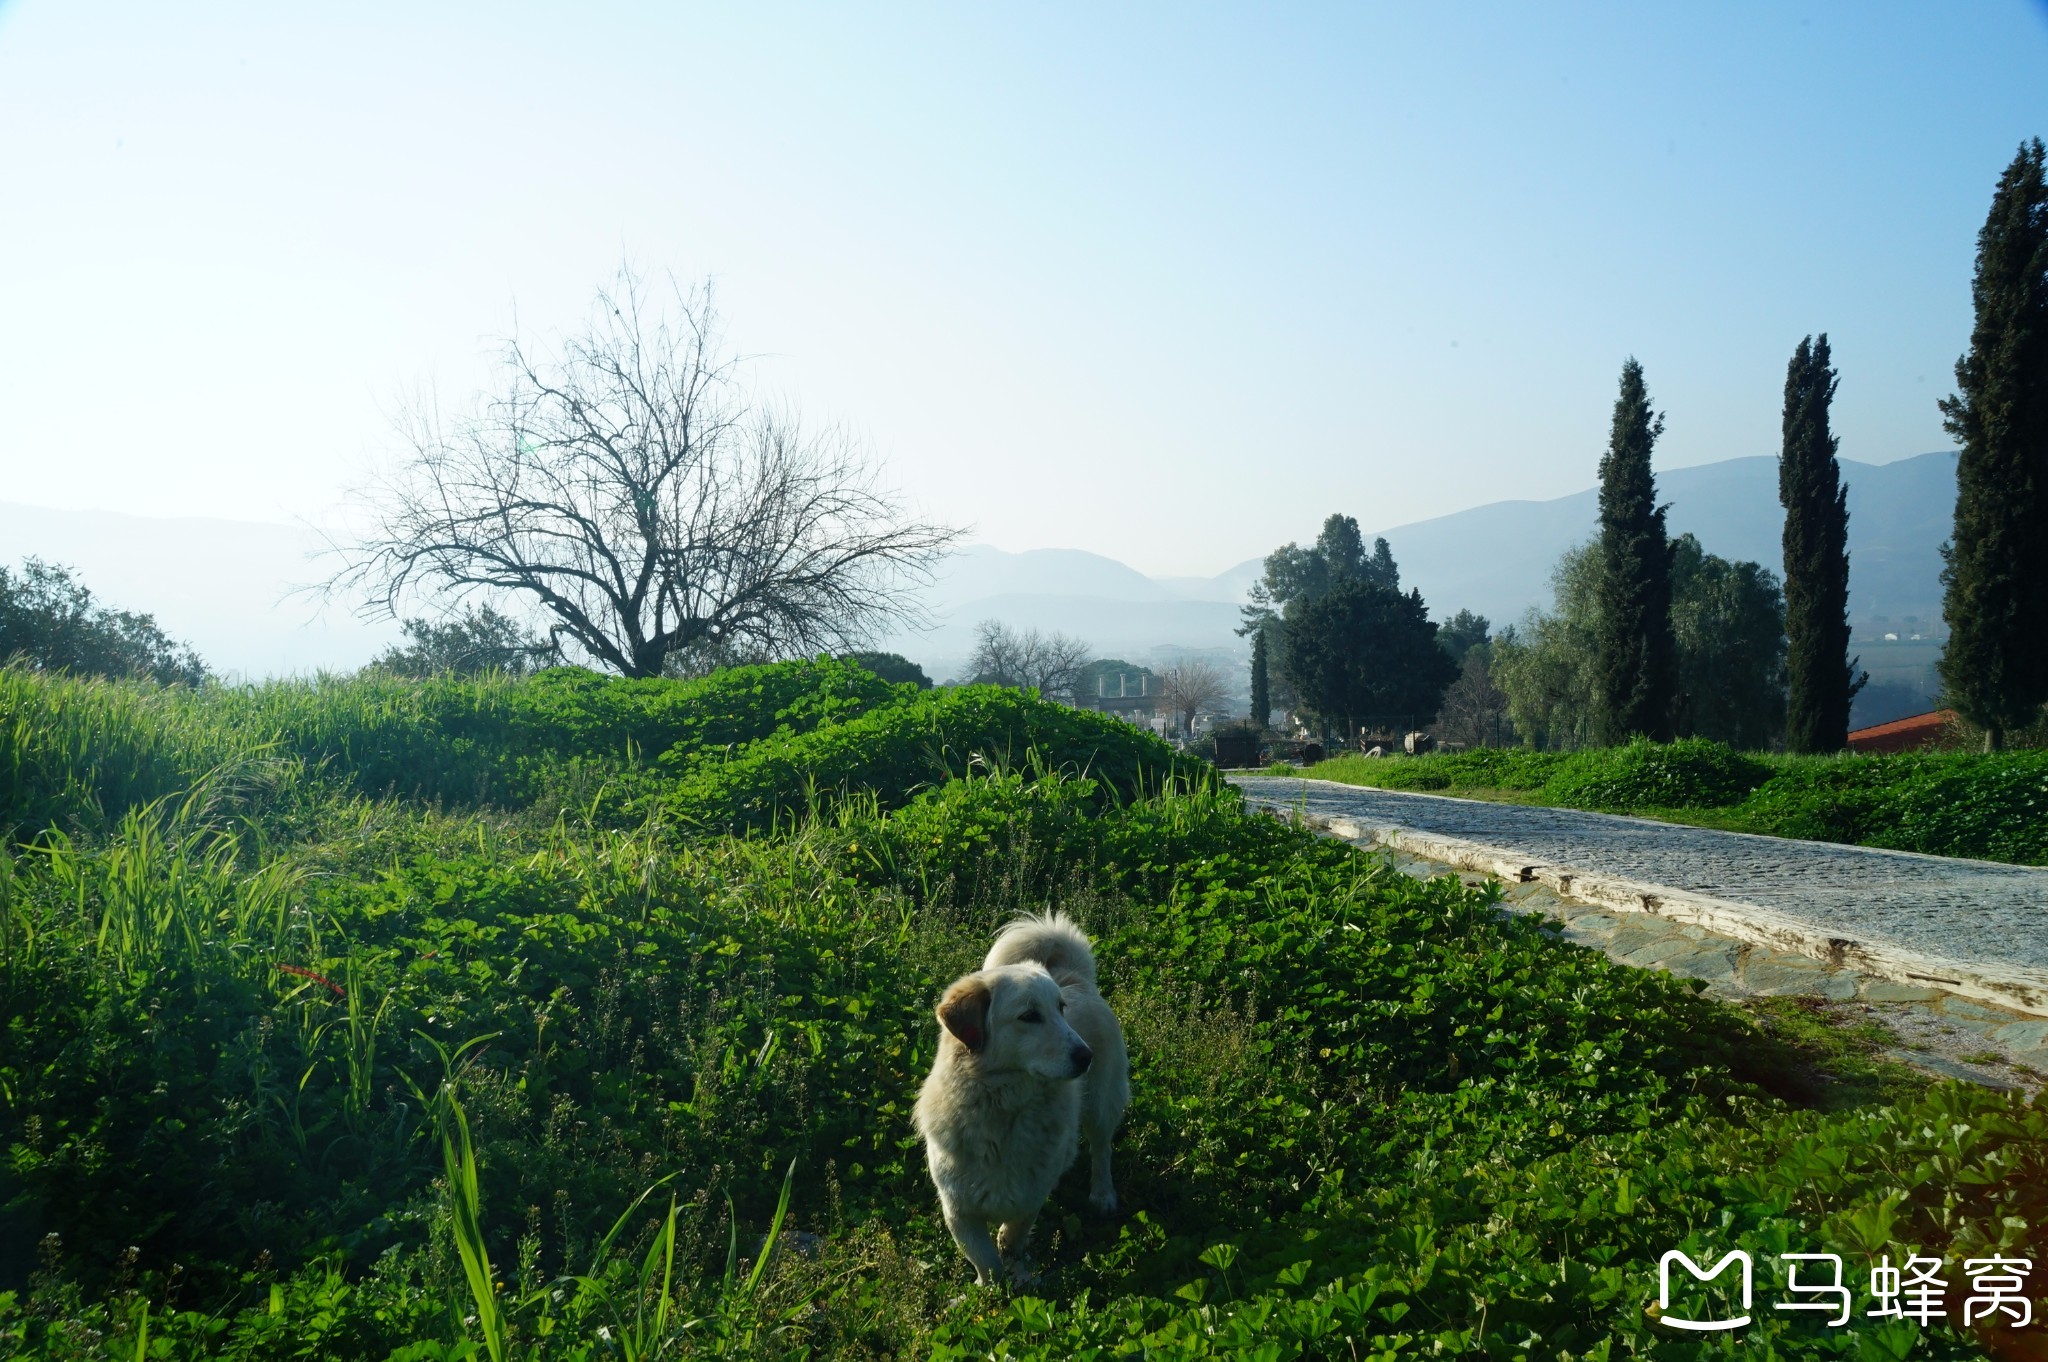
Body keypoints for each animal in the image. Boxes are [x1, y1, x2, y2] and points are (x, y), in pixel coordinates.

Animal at [917, 909, 1138, 1278]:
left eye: (1061, 1009)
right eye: (1029, 1016)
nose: (1086, 1056)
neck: (1001, 1109)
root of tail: (1074, 978)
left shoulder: (1029, 1196)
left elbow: (1012, 1237)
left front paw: (1014, 1270)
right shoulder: (958, 1210)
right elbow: (985, 1260)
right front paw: (991, 1288)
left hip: (1102, 1104)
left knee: (1101, 1149)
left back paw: (1102, 1195)